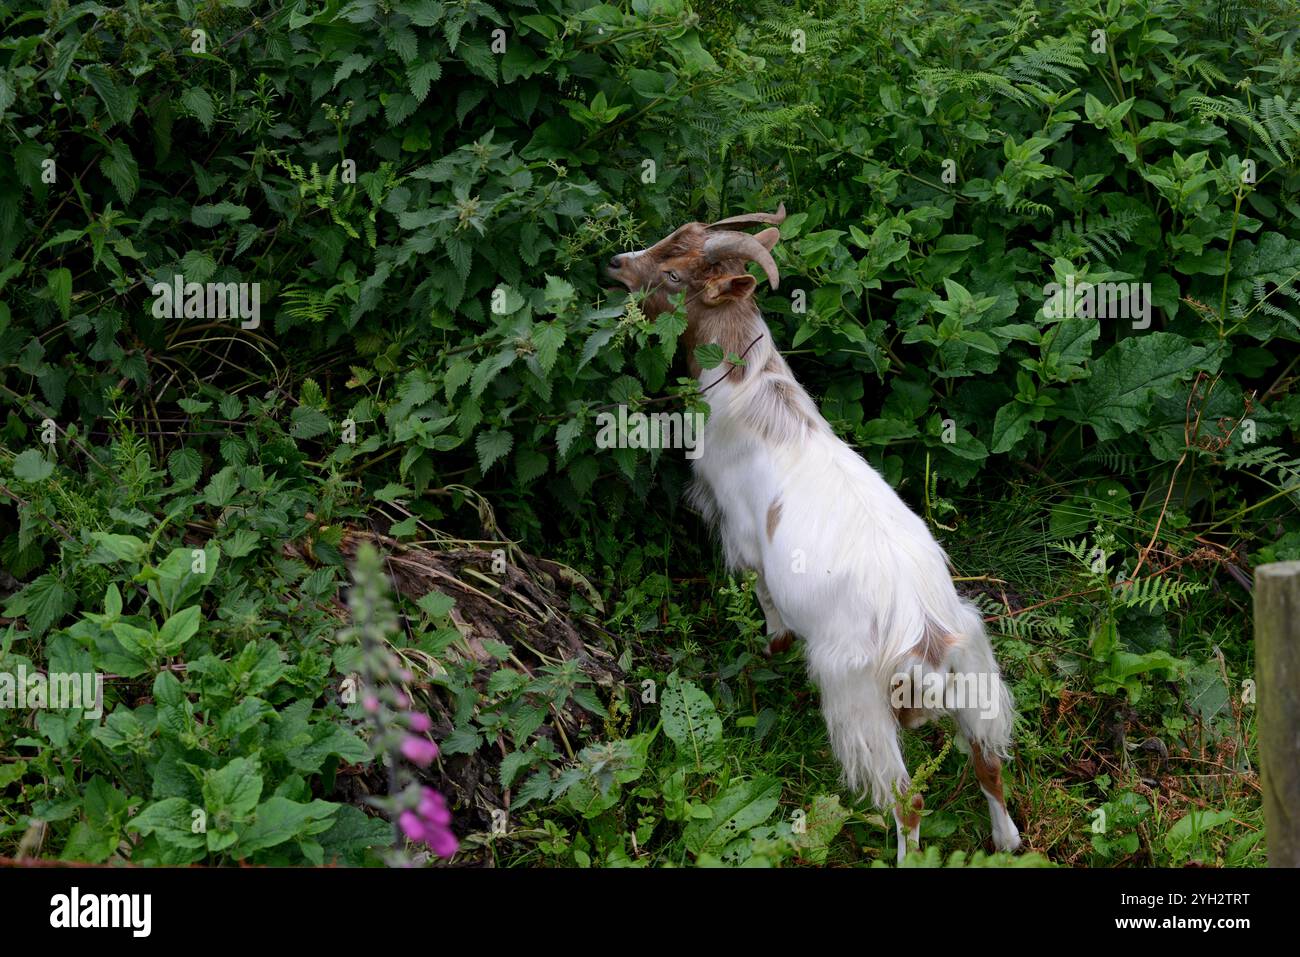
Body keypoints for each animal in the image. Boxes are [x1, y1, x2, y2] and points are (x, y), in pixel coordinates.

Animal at [606, 205, 1021, 863]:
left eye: (673, 274)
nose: (616, 264)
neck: (752, 394)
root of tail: (927, 639)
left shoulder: (745, 538)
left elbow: (764, 598)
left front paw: (770, 648)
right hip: (973, 672)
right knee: (989, 758)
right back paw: (1007, 840)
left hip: (858, 696)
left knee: (908, 799)